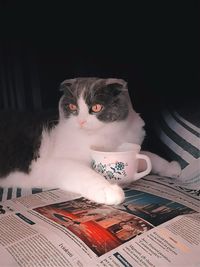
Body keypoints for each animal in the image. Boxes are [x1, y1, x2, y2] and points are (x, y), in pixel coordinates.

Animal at [0, 78, 181, 206]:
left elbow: (147, 155)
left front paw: (171, 167)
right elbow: (86, 173)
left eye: (96, 108)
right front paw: (108, 189)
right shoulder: (51, 164)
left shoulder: (126, 149)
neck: (107, 134)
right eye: (72, 107)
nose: (81, 121)